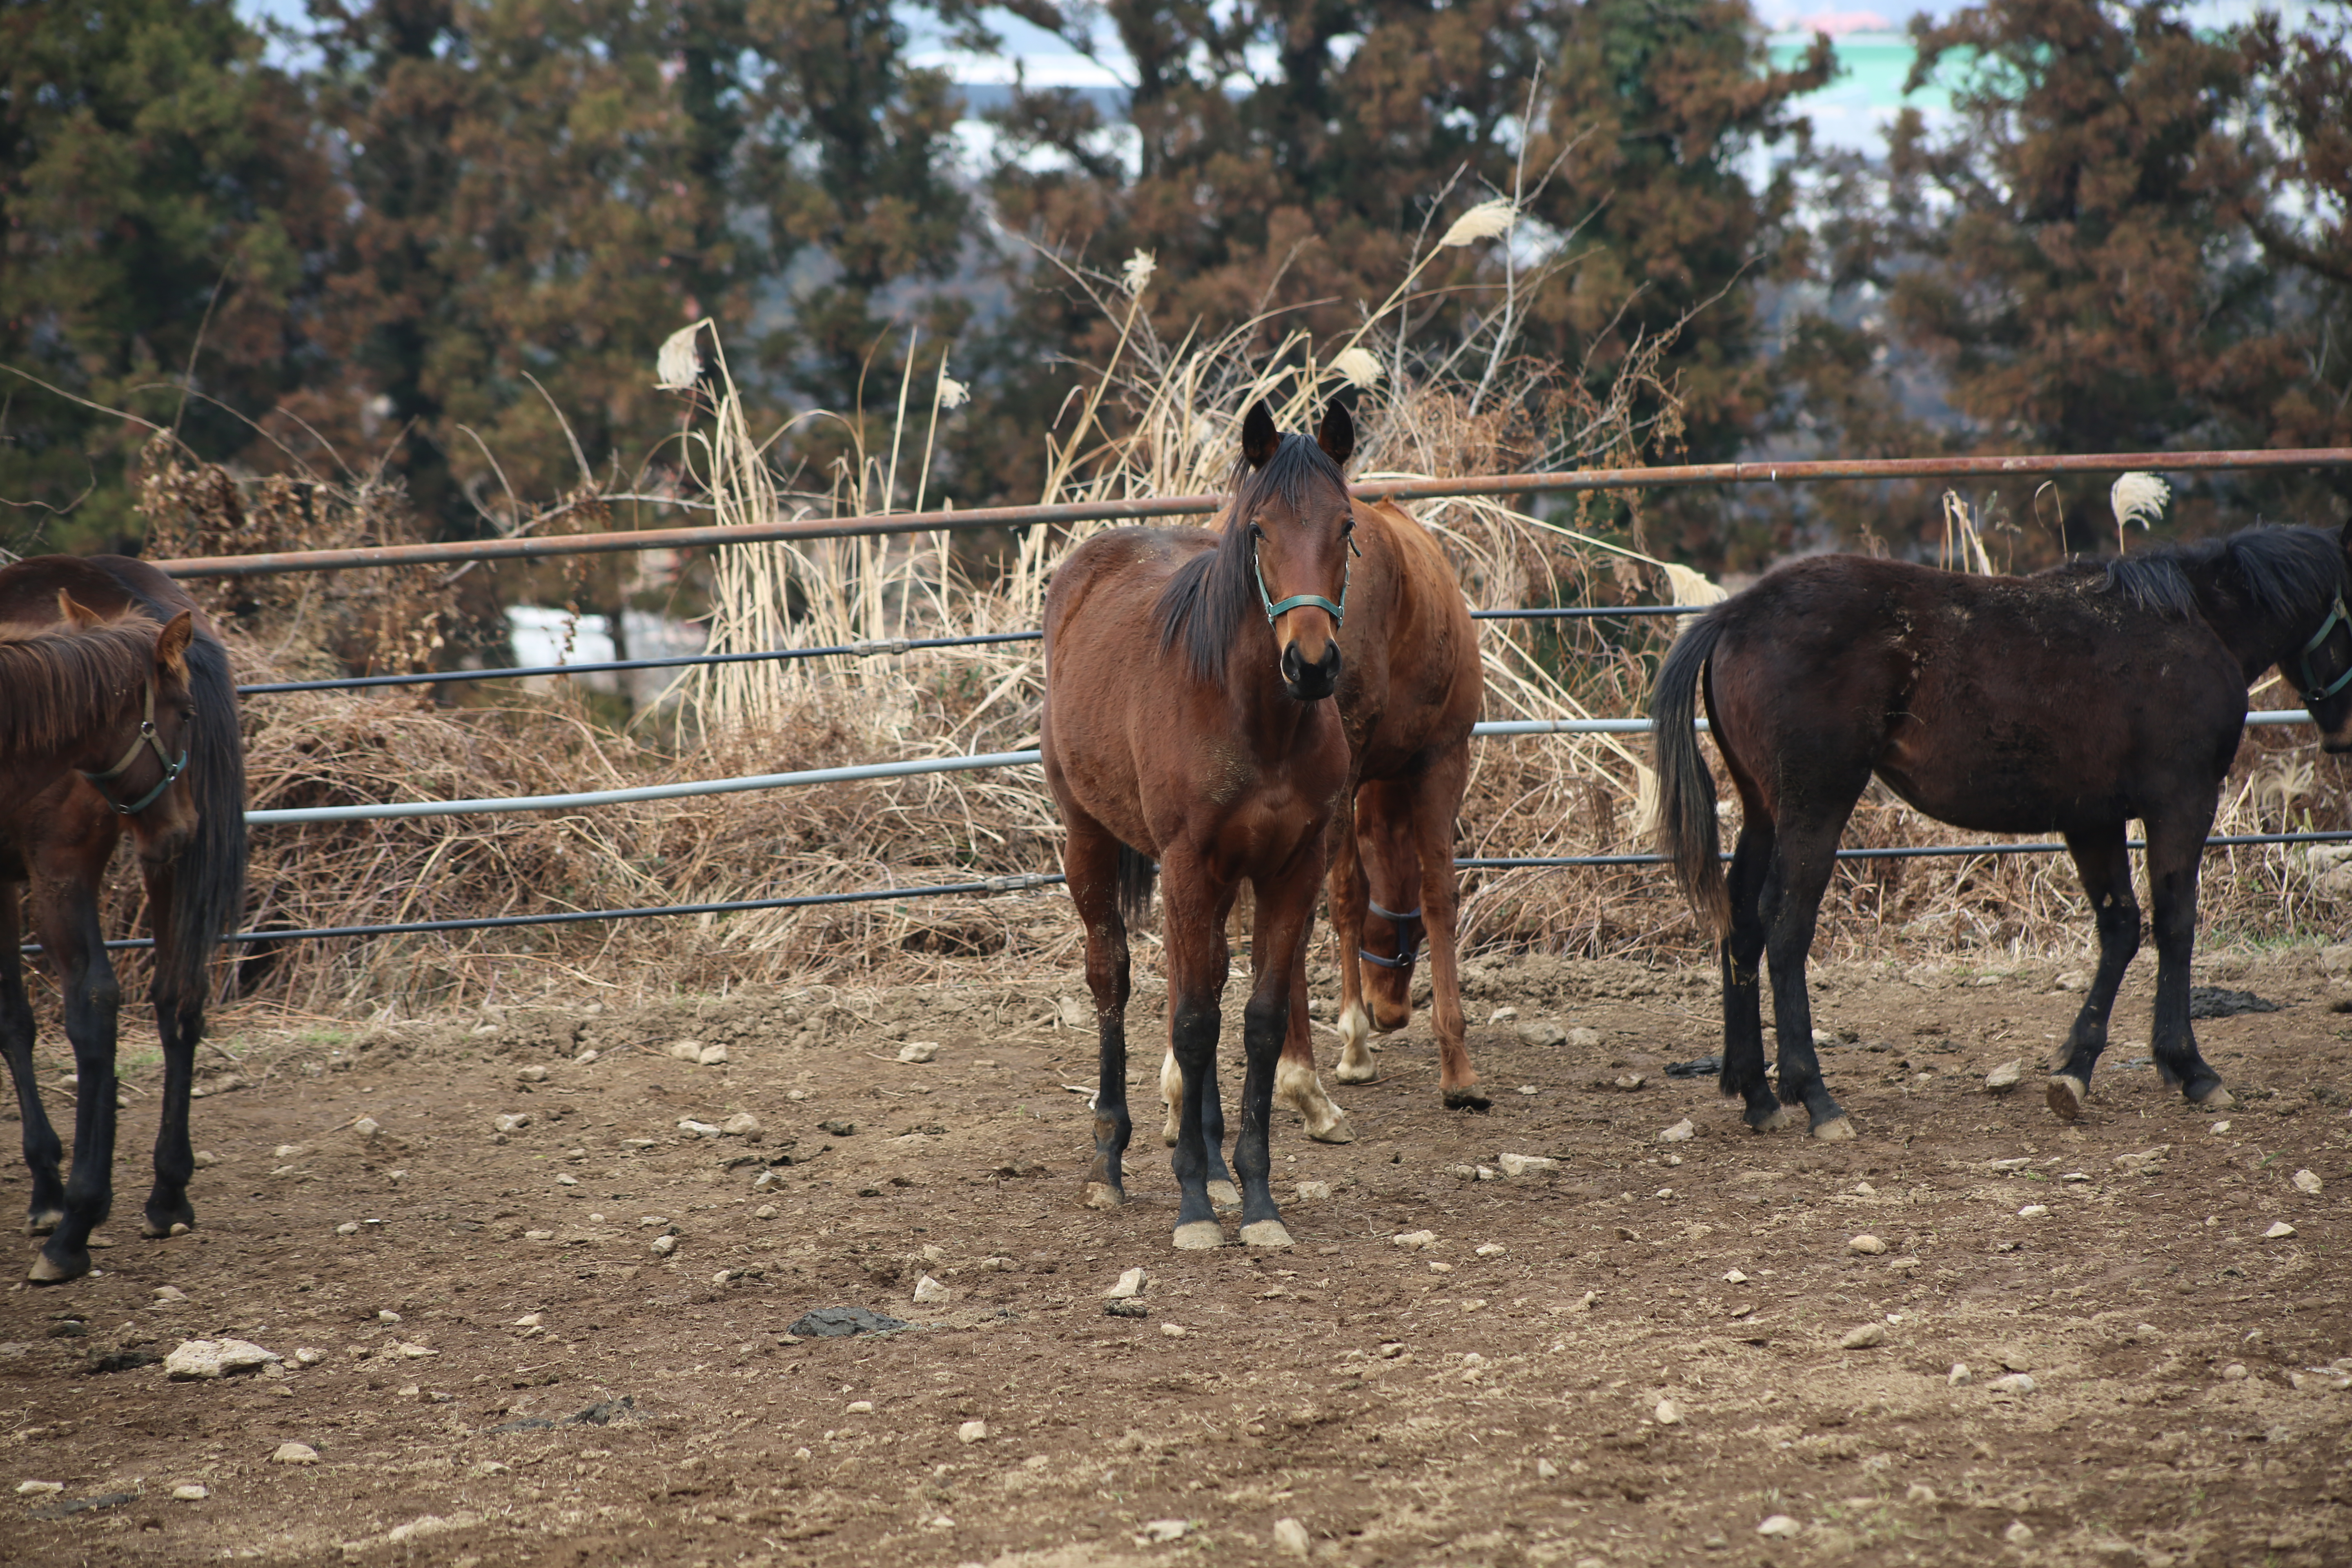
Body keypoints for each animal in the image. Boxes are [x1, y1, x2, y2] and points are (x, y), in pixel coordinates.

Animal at [0, 557, 248, 1278]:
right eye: (182, 712)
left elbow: (14, 1020)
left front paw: (49, 1191)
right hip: (165, 858)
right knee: (179, 996)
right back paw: (166, 1195)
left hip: (67, 869)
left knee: (94, 1004)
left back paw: (74, 1225)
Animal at [1044, 395, 1354, 1250]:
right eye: (1260, 531)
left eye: (1346, 526)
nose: (1311, 664)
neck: (1256, 721)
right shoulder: (1187, 865)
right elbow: (1189, 1023)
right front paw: (1192, 1208)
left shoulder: (1291, 871)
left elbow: (1255, 1021)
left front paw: (1254, 1197)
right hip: (1088, 838)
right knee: (1112, 977)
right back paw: (1108, 1163)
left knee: (1206, 981)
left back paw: (1213, 1161)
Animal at [1656, 526, 2352, 1142]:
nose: (2343, 735)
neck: (2194, 623)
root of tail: (1733, 615)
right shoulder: (2182, 803)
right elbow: (2175, 925)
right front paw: (2190, 1068)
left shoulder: (2093, 819)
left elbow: (2121, 928)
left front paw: (2075, 1069)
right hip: (1815, 803)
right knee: (1786, 923)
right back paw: (1817, 1099)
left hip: (1763, 809)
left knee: (1742, 920)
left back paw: (1758, 1095)